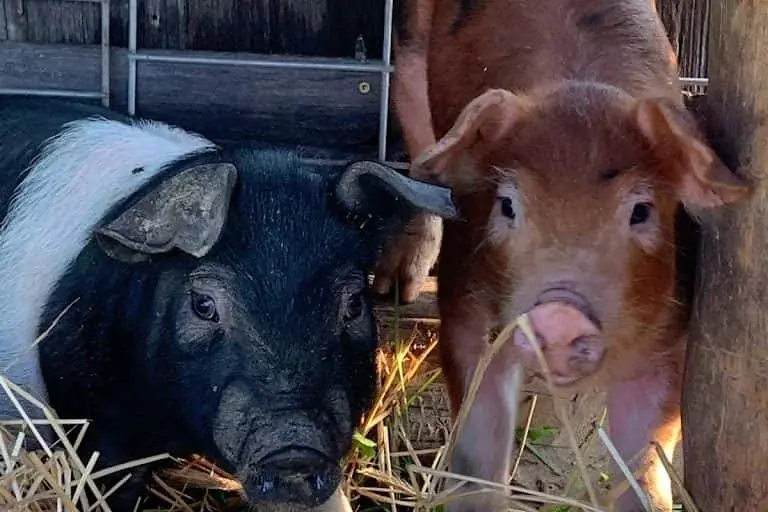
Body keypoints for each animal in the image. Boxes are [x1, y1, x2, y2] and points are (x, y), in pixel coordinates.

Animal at [376, 1, 752, 512]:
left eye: (641, 211)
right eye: (508, 205)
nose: (559, 314)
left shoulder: (668, 338)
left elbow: (645, 469)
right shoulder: (466, 298)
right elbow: (478, 449)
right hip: (412, 49)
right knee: (419, 154)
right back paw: (398, 286)